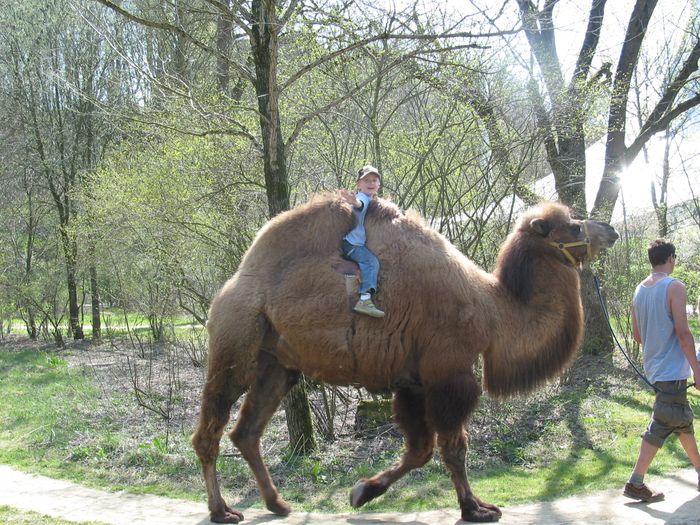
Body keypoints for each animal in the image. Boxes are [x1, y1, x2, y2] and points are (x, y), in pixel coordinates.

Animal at [190, 194, 616, 520]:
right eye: (574, 227)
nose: (610, 231)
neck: (493, 310)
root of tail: (230, 285)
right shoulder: (450, 374)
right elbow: (454, 448)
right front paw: (475, 508)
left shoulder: (414, 383)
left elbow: (420, 450)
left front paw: (362, 491)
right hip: (236, 344)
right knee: (209, 430)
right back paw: (221, 511)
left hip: (276, 364)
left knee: (246, 431)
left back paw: (277, 504)